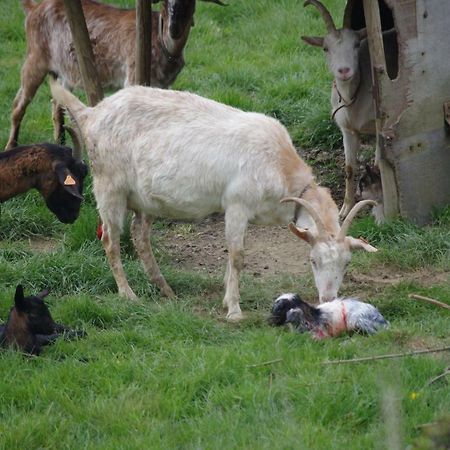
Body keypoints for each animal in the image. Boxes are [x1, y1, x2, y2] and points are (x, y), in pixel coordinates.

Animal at [6, 0, 224, 149]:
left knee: (57, 103)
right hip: (35, 58)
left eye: (189, 2)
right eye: (164, 2)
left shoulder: (162, 85)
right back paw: (11, 146)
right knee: (19, 104)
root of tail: (34, 8)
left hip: (63, 71)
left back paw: (61, 144)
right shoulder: (133, 76)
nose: (175, 28)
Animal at [300, 0, 396, 220]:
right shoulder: (347, 129)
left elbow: (378, 162)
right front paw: (345, 208)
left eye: (356, 45)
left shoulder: (378, 126)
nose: (344, 71)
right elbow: (349, 168)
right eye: (325, 48)